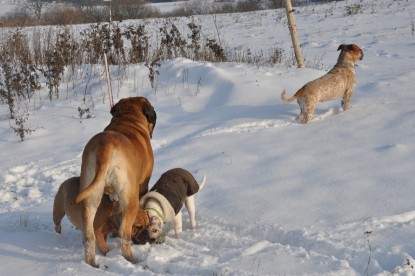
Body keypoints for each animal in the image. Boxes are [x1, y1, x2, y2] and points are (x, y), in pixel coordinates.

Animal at [75, 97, 157, 268]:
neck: (128, 119)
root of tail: (105, 147)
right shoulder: (142, 186)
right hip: (129, 197)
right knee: (124, 234)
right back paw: (130, 258)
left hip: (90, 198)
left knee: (89, 236)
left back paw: (91, 262)